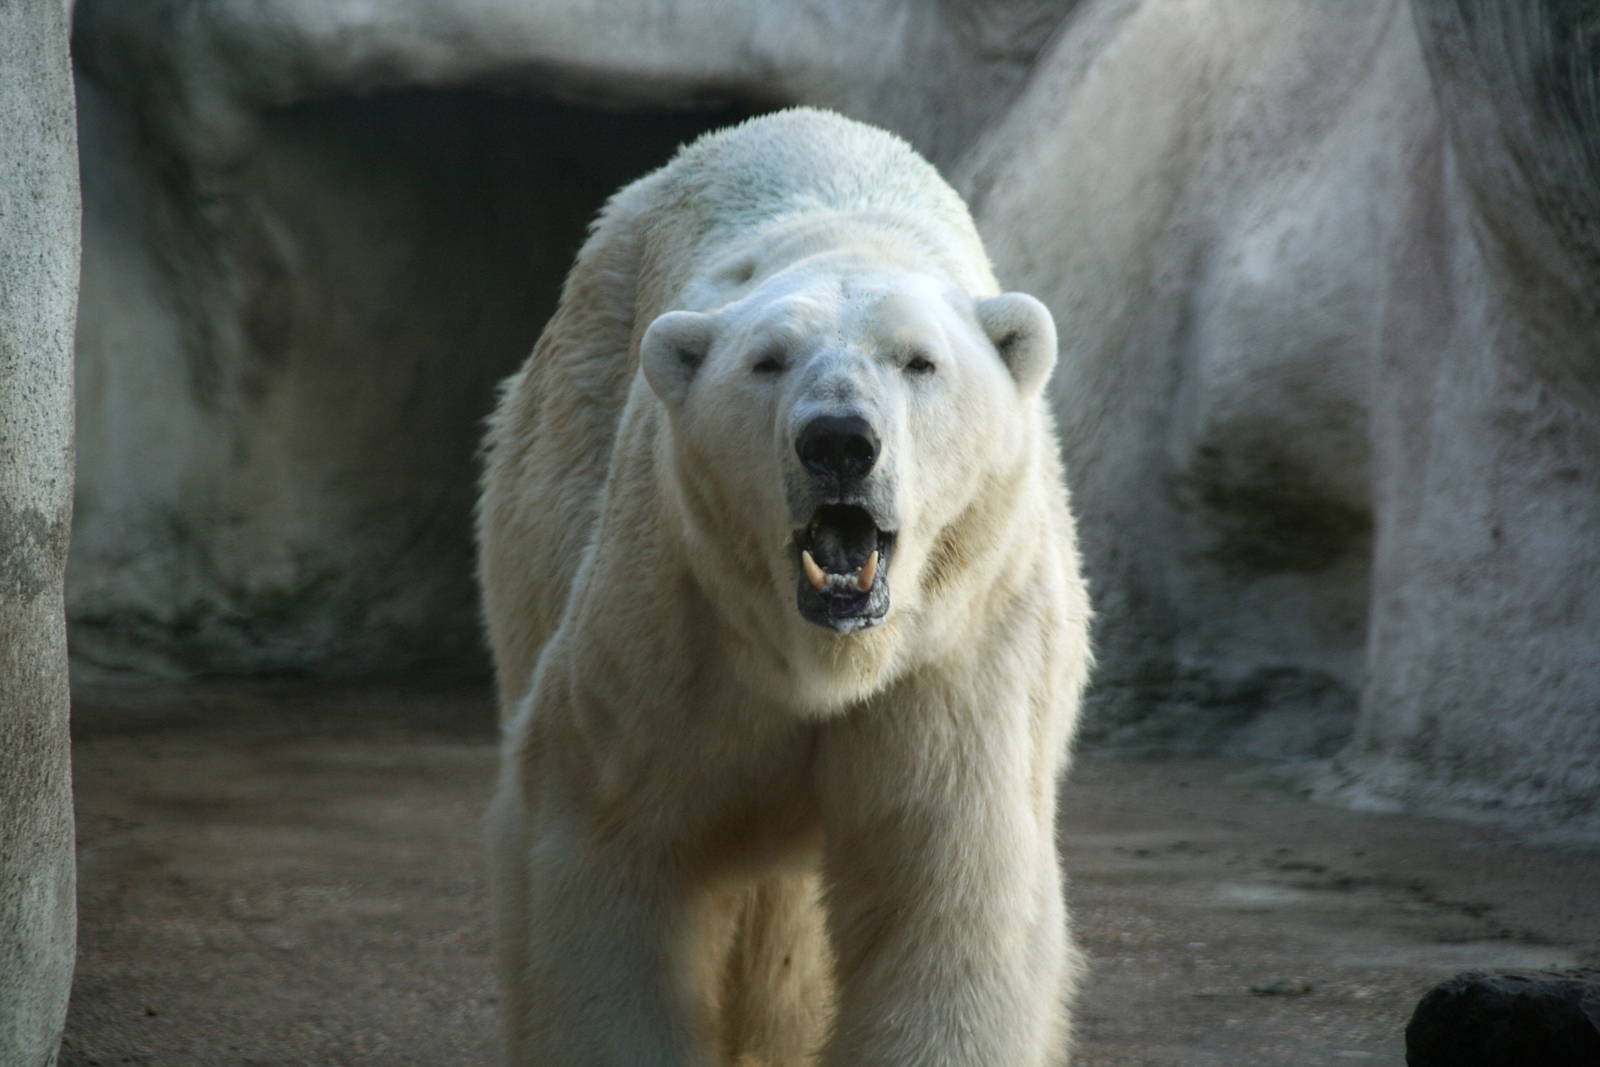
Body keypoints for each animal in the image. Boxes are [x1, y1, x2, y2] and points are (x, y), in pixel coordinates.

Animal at [477, 107, 1092, 1066]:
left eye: (919, 362)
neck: (826, 654)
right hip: (560, 454)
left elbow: (942, 882)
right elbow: (610, 836)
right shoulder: (672, 623)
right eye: (767, 360)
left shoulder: (959, 654)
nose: (839, 439)